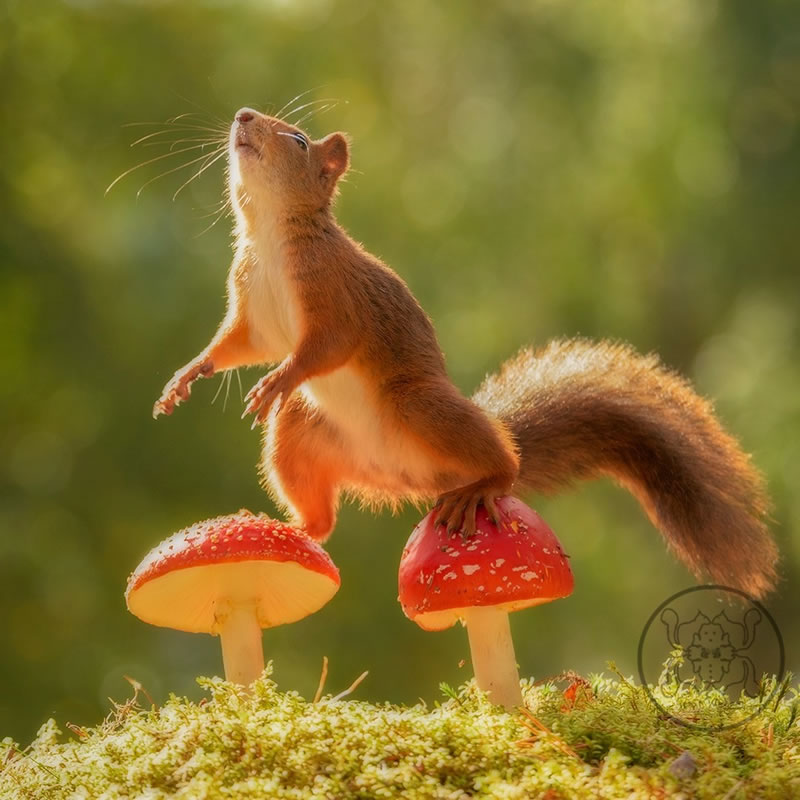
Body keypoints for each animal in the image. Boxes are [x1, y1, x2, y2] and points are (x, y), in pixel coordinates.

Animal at [153, 106, 780, 596]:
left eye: (301, 141)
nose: (243, 116)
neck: (269, 235)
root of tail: (412, 476)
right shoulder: (251, 311)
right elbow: (234, 346)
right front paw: (186, 376)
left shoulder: (336, 301)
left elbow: (321, 349)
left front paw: (278, 381)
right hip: (299, 440)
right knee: (323, 519)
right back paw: (292, 530)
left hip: (418, 406)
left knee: (504, 464)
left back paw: (486, 481)